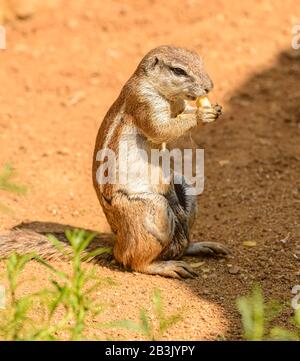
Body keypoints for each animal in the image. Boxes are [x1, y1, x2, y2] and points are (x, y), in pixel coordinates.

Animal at [92, 45, 229, 278]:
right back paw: (169, 267)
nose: (209, 87)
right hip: (151, 209)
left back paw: (201, 246)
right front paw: (202, 115)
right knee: (131, 260)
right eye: (178, 71)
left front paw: (215, 109)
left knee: (180, 243)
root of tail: (116, 238)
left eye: (200, 61)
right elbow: (160, 128)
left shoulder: (179, 104)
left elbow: (182, 112)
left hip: (185, 188)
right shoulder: (144, 101)